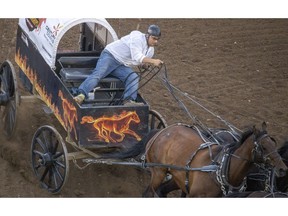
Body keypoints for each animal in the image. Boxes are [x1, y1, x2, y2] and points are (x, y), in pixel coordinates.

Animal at [143, 122, 288, 197]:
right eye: (263, 147)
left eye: (274, 143)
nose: (282, 169)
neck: (222, 168)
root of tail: (164, 131)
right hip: (158, 171)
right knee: (148, 193)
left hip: (178, 177)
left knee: (162, 190)